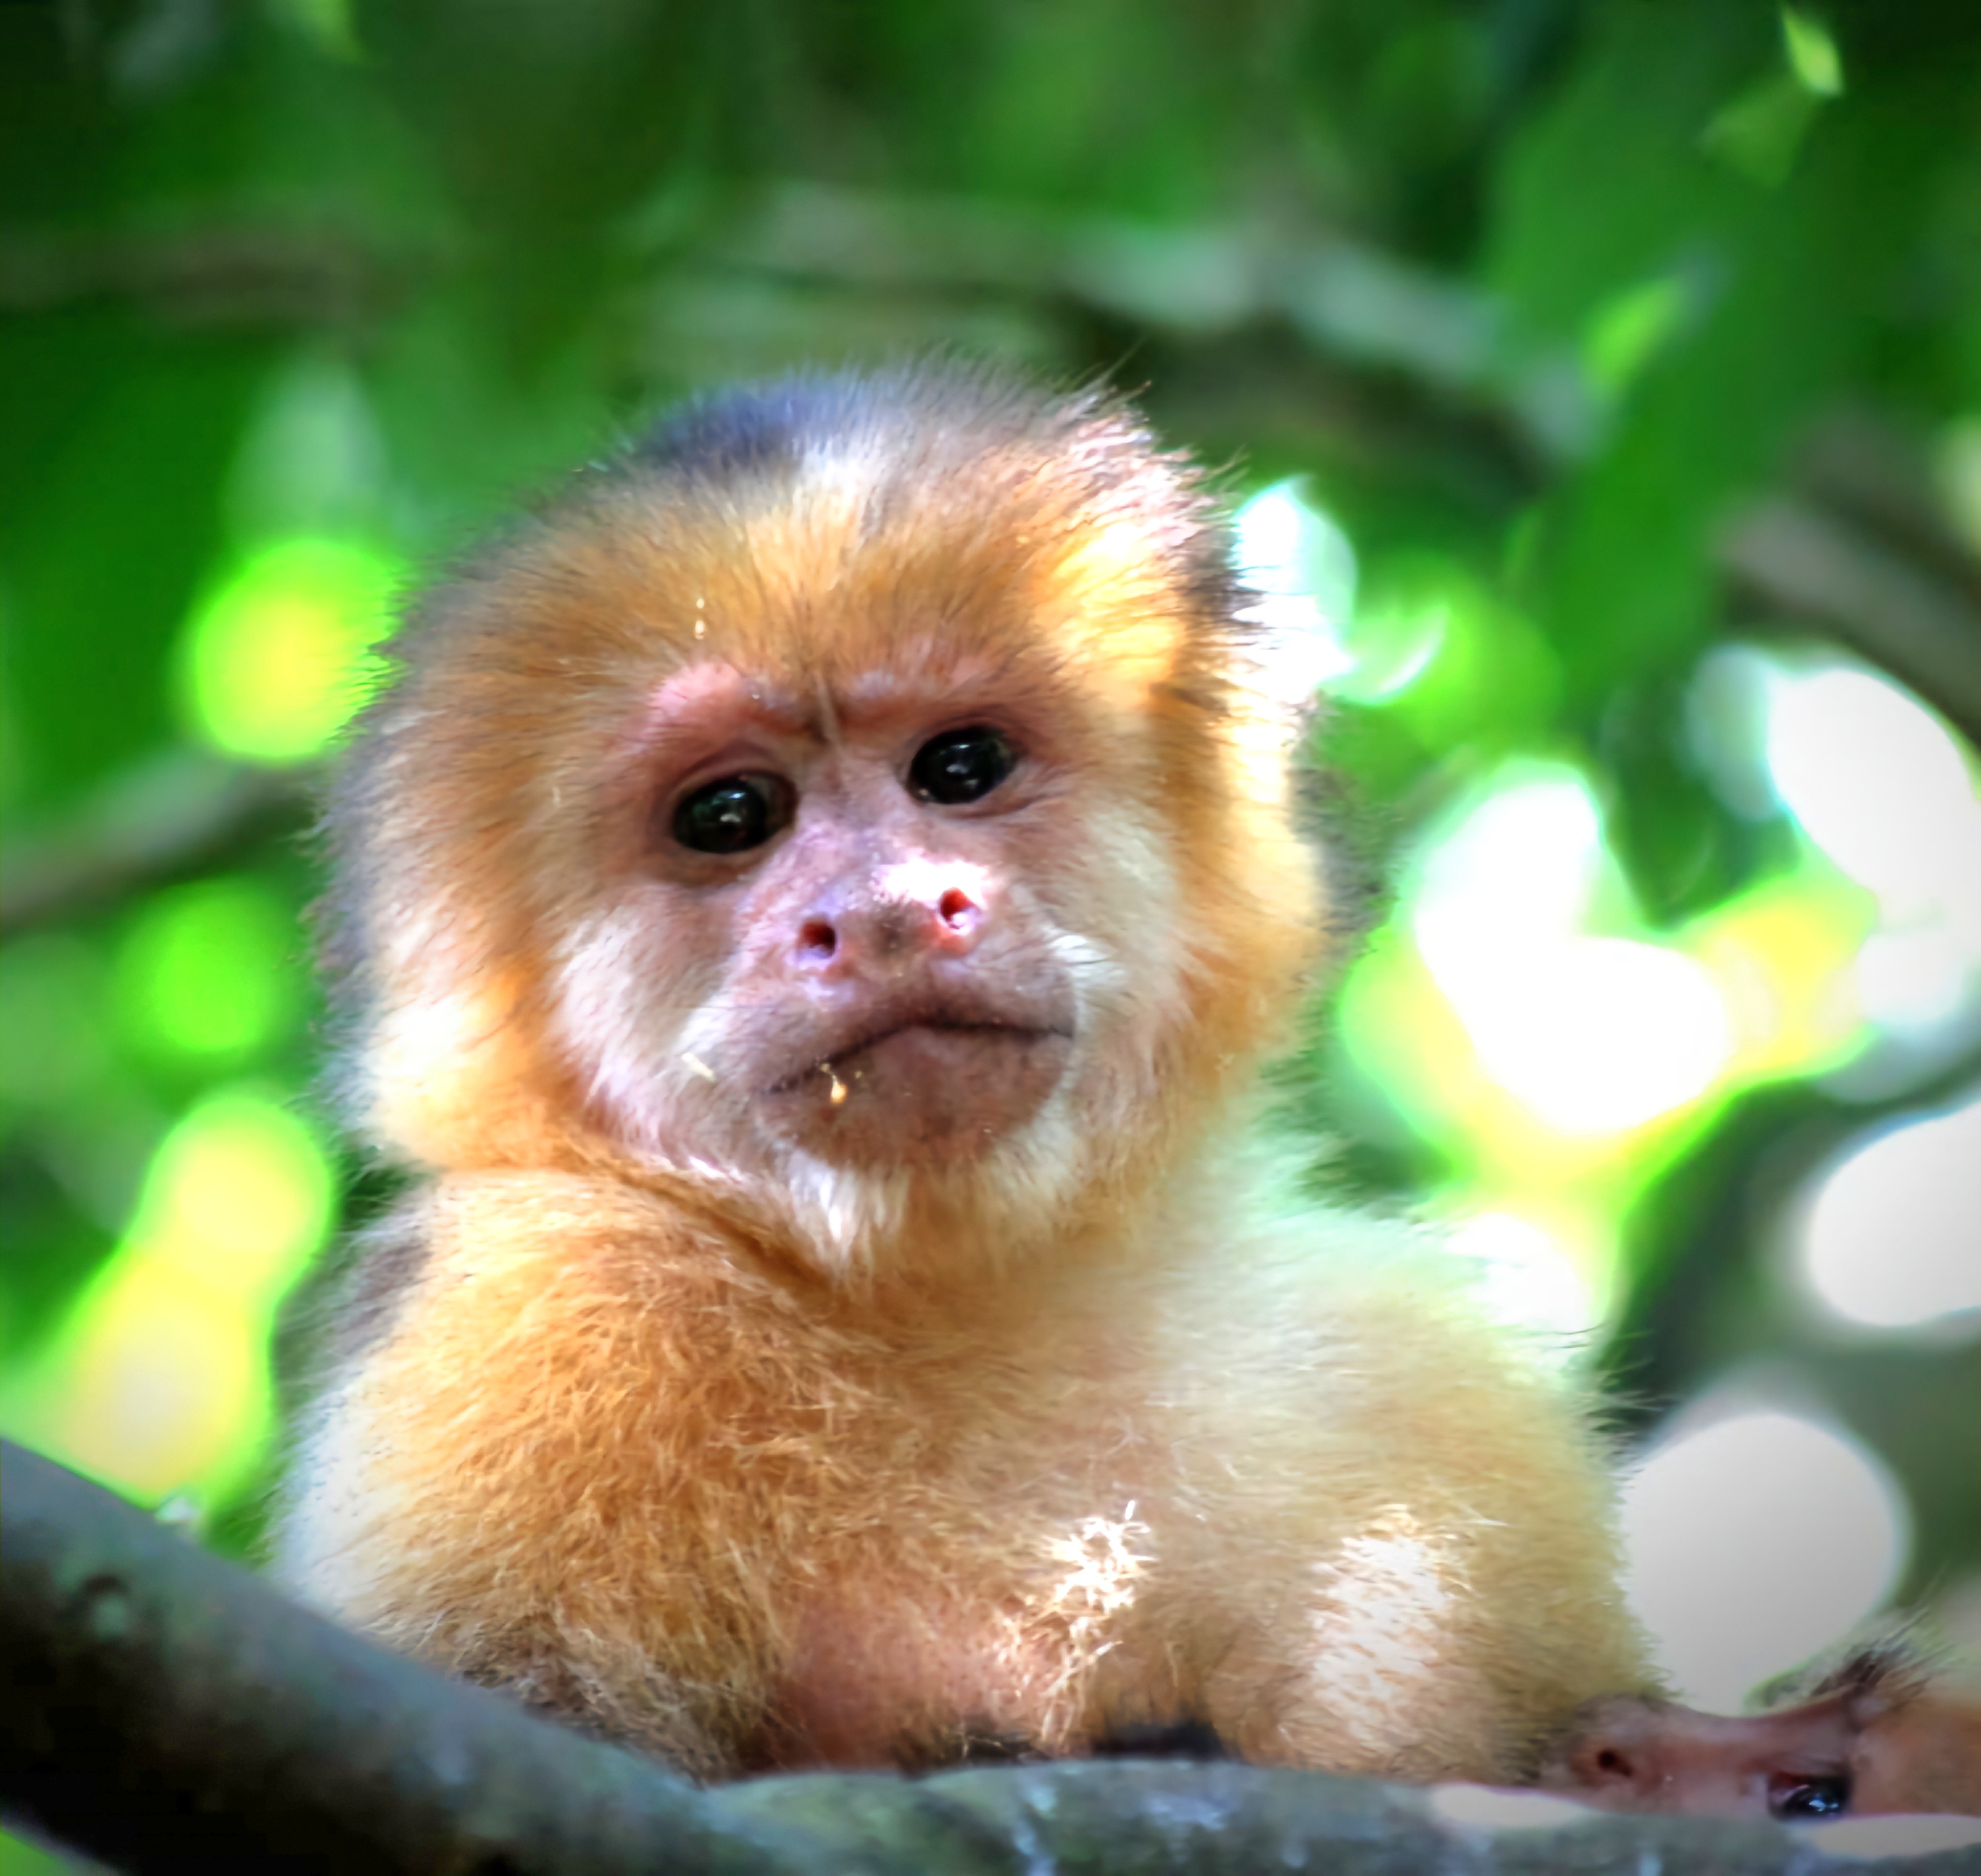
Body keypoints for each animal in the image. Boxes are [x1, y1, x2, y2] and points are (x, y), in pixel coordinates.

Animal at [273, 360, 1655, 1784]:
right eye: (730, 815)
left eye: (958, 766)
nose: (879, 910)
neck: (970, 1289)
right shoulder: (532, 1305)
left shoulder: (1438, 1398)